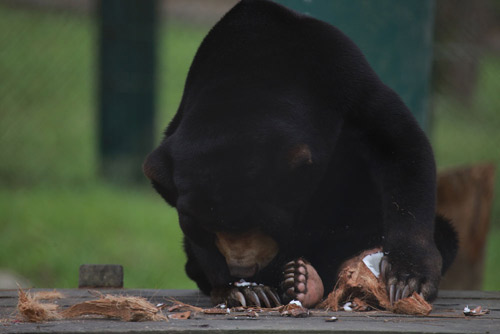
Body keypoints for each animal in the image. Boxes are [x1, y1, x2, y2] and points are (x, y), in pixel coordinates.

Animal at [144, 0, 458, 308]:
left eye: (265, 223)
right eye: (206, 227)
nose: (242, 268)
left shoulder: (346, 79)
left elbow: (401, 145)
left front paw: (408, 279)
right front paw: (244, 290)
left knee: (443, 235)